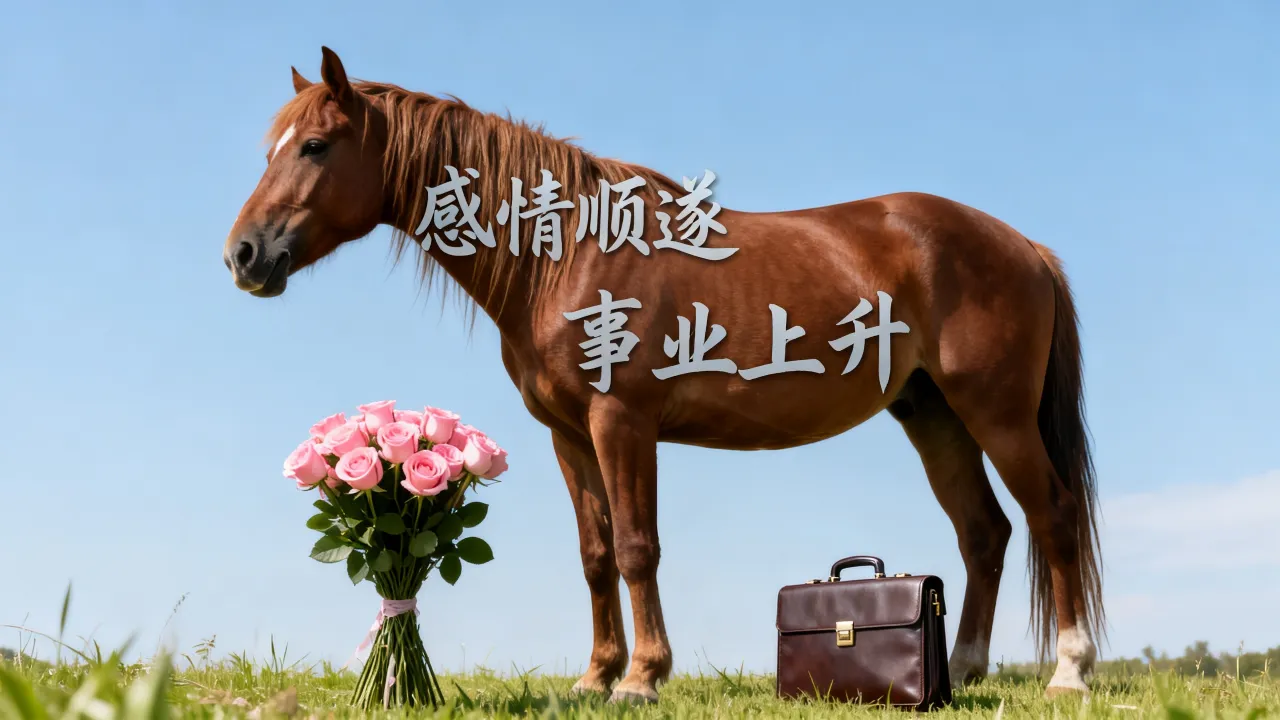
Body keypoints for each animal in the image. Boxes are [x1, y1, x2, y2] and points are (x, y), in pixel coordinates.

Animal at [223, 47, 1104, 702]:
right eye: (268, 150)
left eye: (315, 146)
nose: (244, 255)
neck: (566, 255)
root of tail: (1024, 246)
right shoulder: (568, 435)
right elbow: (595, 554)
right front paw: (595, 676)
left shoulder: (623, 423)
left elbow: (638, 546)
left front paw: (642, 679)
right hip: (934, 414)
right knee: (985, 532)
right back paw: (964, 670)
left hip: (996, 414)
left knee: (1052, 516)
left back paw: (1068, 670)